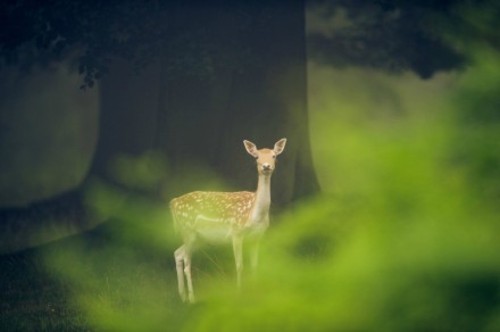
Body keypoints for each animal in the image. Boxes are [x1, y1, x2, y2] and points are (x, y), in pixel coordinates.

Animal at [170, 136, 286, 302]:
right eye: (256, 157)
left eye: (274, 156)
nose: (266, 166)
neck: (254, 215)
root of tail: (173, 202)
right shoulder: (236, 232)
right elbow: (239, 265)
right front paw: (238, 294)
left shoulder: (257, 237)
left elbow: (255, 266)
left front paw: (255, 295)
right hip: (188, 230)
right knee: (187, 263)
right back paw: (192, 299)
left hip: (198, 237)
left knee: (178, 253)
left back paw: (183, 296)